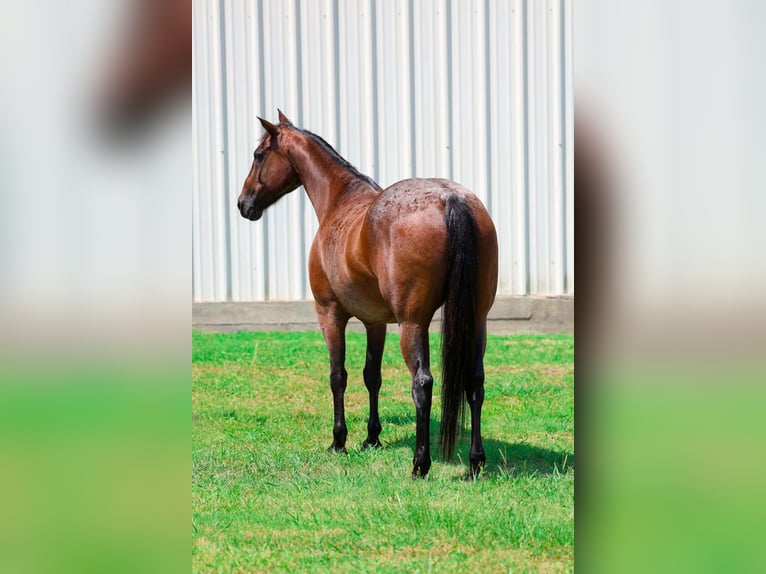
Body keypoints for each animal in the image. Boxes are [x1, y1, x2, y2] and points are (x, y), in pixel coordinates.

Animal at [238, 111, 498, 478]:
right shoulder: (375, 322)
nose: (243, 204)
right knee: (475, 382)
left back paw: (420, 464)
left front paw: (339, 441)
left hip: (412, 324)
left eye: (258, 155)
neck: (340, 200)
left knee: (422, 383)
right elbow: (371, 376)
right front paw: (372, 437)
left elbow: (338, 376)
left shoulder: (330, 315)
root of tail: (451, 198)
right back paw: (475, 462)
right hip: (476, 320)